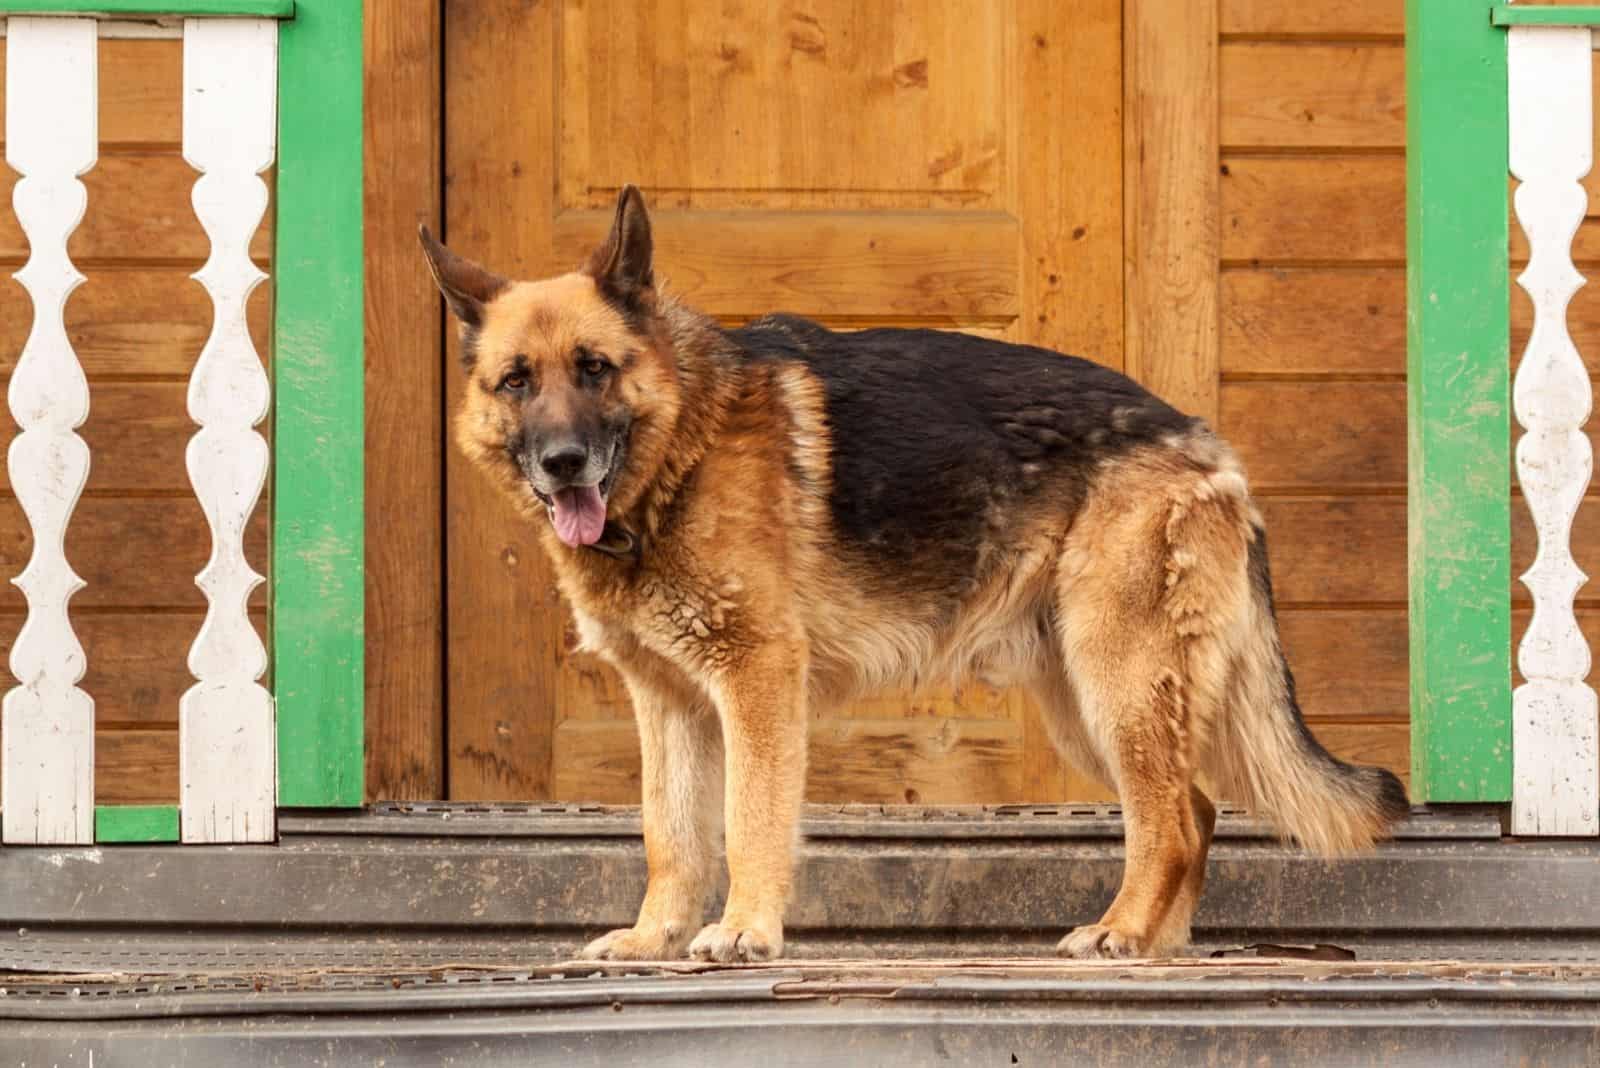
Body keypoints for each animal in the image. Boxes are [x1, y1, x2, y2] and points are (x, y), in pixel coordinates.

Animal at [419, 187, 1408, 965]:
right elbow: (671, 833)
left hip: (1116, 683)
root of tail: (1203, 441)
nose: (563, 465)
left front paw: (743, 931)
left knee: (1168, 819)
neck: (682, 451)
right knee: (1191, 811)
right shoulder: (668, 704)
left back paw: (1122, 932)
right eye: (516, 381)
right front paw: (656, 936)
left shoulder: (756, 683)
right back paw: (1154, 943)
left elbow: (748, 819)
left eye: (595, 368)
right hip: (1089, 705)